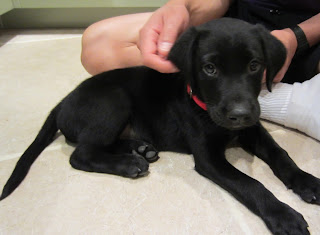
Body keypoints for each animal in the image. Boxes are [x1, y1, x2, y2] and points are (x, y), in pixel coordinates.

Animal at [0, 18, 320, 235]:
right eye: (210, 69)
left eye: (254, 65)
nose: (240, 114)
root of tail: (63, 100)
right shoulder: (208, 158)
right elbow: (251, 184)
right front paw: (283, 214)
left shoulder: (253, 130)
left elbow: (281, 155)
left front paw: (306, 181)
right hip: (113, 100)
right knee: (81, 154)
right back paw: (129, 163)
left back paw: (140, 148)